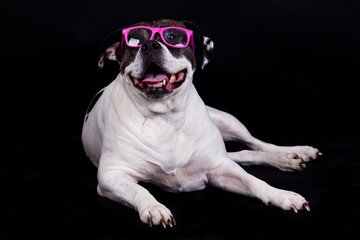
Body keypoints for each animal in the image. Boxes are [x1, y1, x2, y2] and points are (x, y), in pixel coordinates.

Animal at [81, 19, 320, 228]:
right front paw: (154, 207)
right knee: (242, 154)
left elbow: (253, 181)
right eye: (134, 40)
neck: (165, 118)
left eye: (173, 37)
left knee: (256, 144)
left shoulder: (220, 168)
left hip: (229, 122)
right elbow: (139, 190)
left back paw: (291, 154)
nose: (149, 45)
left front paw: (281, 195)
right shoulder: (110, 176)